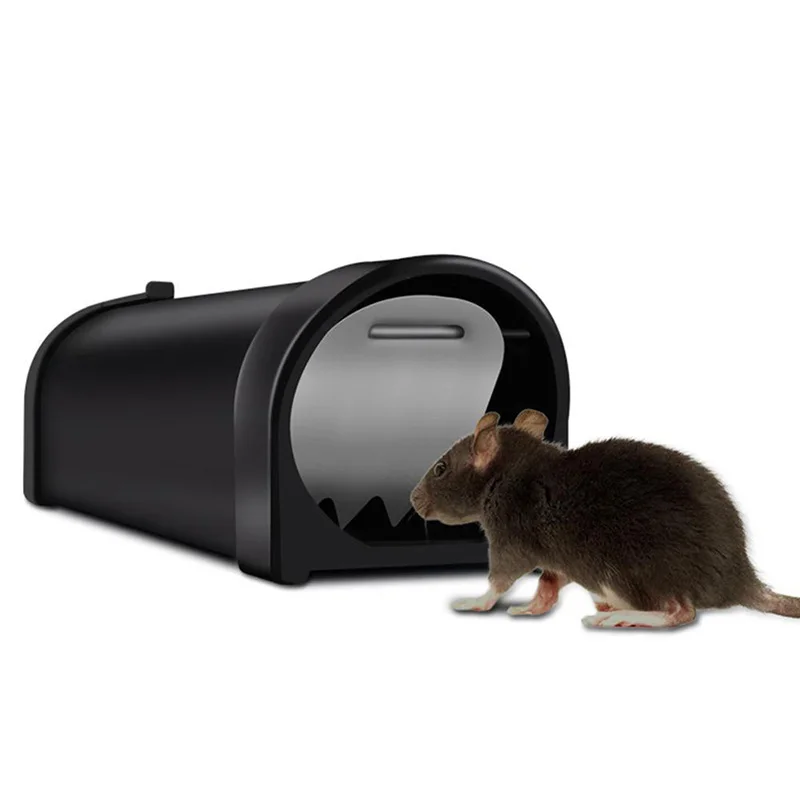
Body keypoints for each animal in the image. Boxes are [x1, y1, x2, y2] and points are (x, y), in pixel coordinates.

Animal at [409, 409, 800, 629]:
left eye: (440, 469)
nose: (413, 500)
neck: (507, 468)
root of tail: (739, 578)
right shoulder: (560, 561)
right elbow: (548, 584)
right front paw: (531, 608)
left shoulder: (510, 537)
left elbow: (501, 578)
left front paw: (474, 601)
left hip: (635, 568)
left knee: (681, 611)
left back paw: (620, 616)